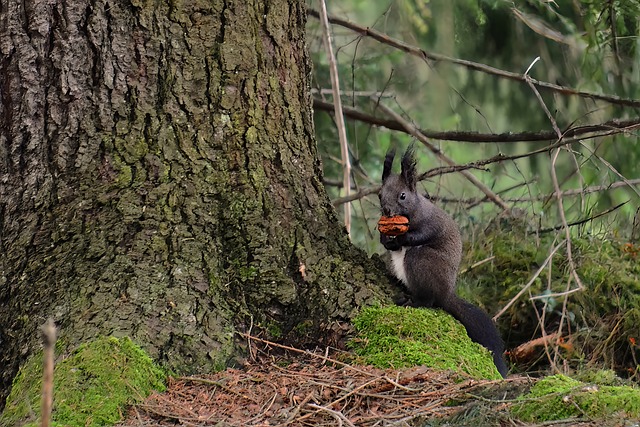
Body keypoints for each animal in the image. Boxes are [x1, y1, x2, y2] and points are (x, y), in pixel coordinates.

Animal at [378, 146, 508, 378]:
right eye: (379, 194)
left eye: (402, 196)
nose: (386, 211)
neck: (412, 214)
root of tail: (447, 293)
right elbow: (390, 245)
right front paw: (386, 239)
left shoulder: (432, 223)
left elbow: (421, 235)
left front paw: (402, 239)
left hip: (422, 262)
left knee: (429, 300)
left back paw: (413, 301)